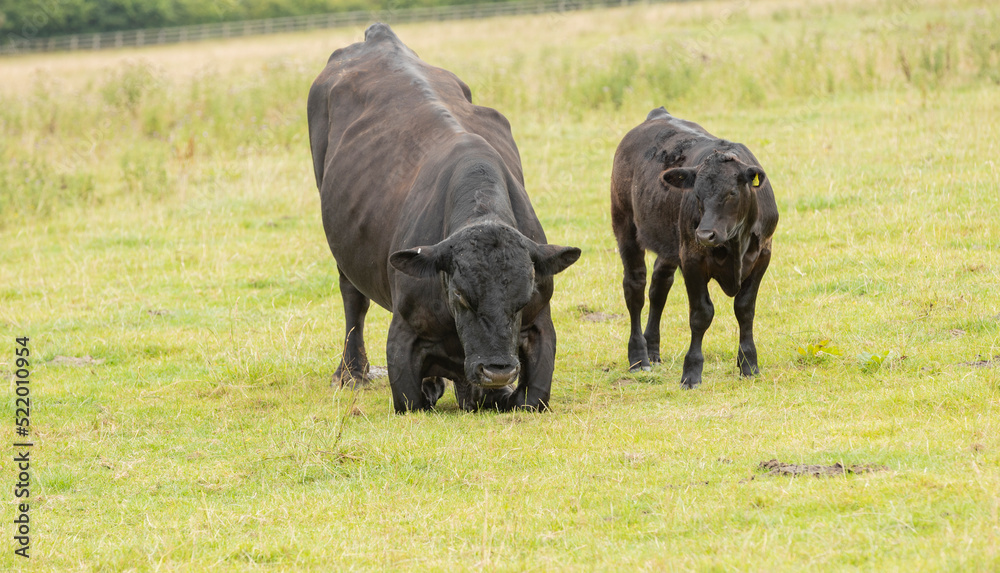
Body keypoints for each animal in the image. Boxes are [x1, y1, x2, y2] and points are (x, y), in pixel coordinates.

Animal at [307, 23, 580, 413]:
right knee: (352, 299)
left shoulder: (542, 325)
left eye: (522, 298)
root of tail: (379, 35)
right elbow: (411, 397)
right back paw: (351, 372)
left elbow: (532, 396)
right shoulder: (403, 335)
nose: (497, 370)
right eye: (462, 297)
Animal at [610, 107, 778, 388]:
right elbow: (701, 314)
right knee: (635, 288)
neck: (735, 242)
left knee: (659, 287)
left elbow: (745, 309)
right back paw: (639, 357)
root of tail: (658, 114)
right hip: (625, 225)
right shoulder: (692, 258)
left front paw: (748, 364)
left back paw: (652, 350)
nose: (705, 234)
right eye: (697, 194)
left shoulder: (763, 254)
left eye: (732, 193)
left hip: (669, 244)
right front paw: (691, 371)